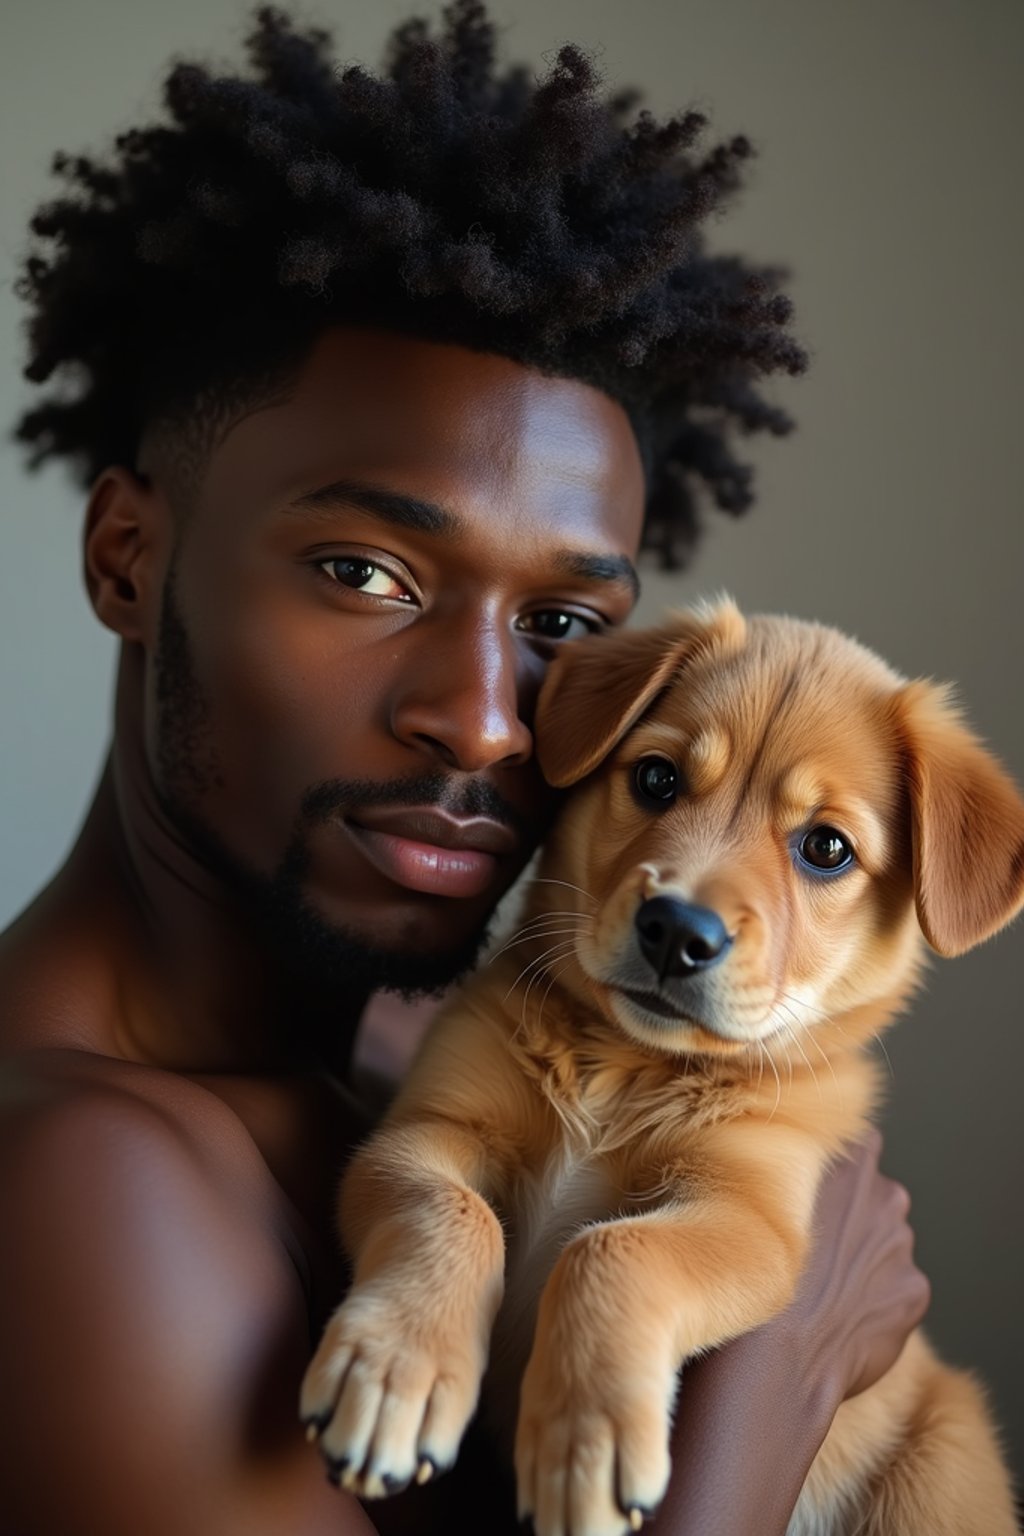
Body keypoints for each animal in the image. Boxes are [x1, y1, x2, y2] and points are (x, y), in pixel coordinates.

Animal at [302, 599, 1024, 1536]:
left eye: (826, 848)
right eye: (655, 779)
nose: (678, 931)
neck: (627, 1065)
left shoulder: (751, 1215)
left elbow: (617, 1247)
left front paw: (587, 1445)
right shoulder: (426, 1130)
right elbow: (453, 1212)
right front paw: (394, 1374)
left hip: (935, 1472)